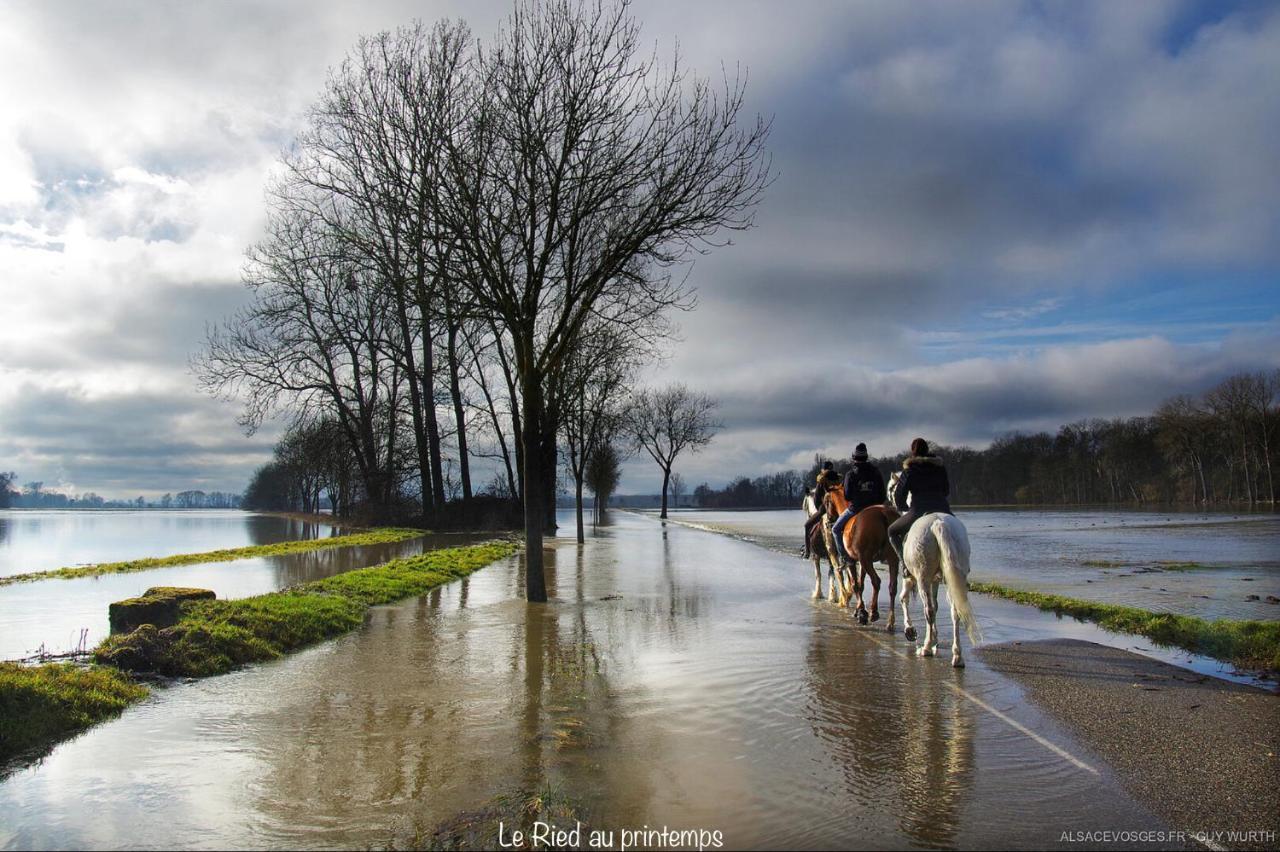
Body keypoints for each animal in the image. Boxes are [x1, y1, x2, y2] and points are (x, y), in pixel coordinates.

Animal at [890, 470, 977, 665]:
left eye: (892, 489)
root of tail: (939, 523)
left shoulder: (911, 578)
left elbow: (904, 598)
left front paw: (911, 631)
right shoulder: (936, 581)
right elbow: (936, 606)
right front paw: (935, 638)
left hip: (922, 578)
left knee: (927, 609)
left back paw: (927, 647)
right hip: (954, 577)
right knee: (955, 610)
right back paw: (957, 655)